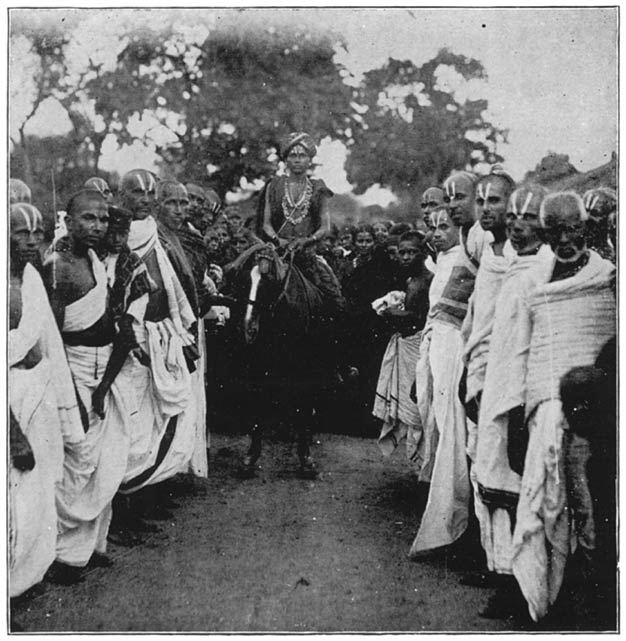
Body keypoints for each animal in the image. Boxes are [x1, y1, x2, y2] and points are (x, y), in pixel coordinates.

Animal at [229, 240, 344, 476]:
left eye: (268, 283)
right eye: (244, 282)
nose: (247, 330)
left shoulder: (304, 371)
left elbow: (303, 409)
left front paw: (306, 459)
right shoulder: (258, 368)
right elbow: (257, 408)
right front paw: (250, 458)